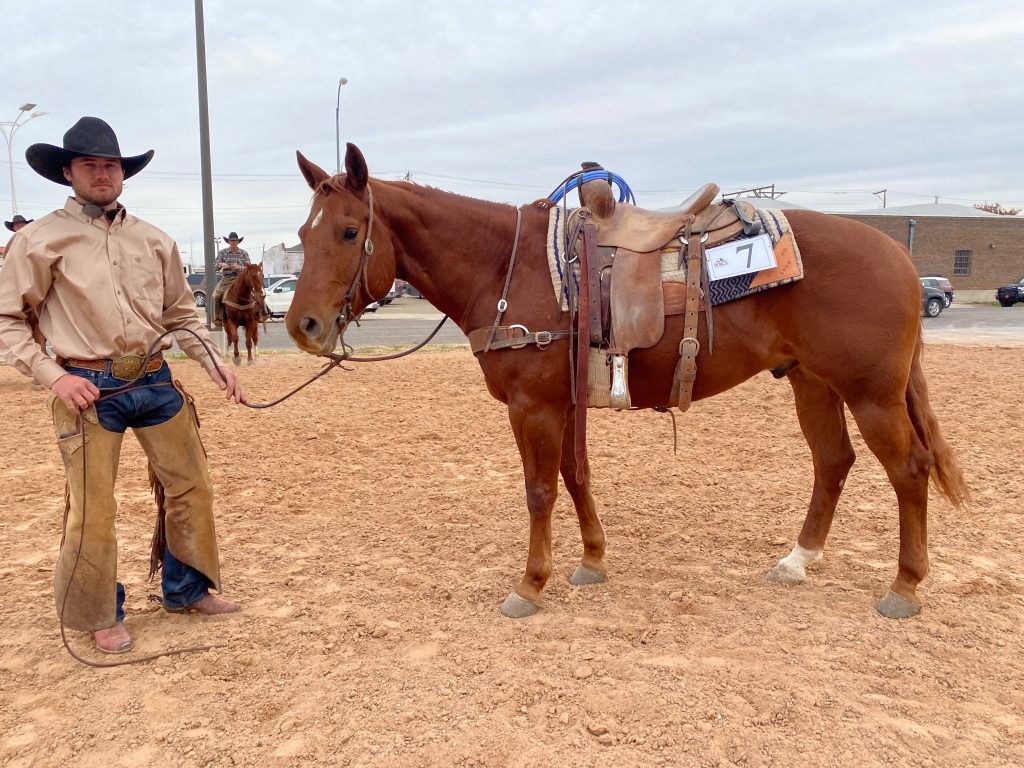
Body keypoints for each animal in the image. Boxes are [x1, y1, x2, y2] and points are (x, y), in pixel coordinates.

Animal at [286, 143, 968, 621]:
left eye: (350, 231)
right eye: (301, 234)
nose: (302, 325)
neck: (512, 268)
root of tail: (901, 258)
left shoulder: (532, 406)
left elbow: (540, 490)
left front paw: (530, 584)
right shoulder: (562, 402)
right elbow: (575, 475)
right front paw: (591, 560)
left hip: (871, 394)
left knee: (908, 470)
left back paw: (904, 586)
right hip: (814, 384)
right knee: (833, 462)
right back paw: (798, 560)